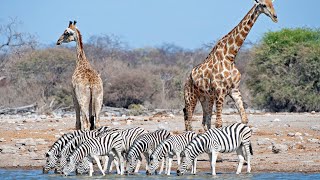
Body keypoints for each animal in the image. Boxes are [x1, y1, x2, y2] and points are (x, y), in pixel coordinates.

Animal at [184, 0, 278, 131]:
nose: (275, 17)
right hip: (190, 97)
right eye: (263, 5)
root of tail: (187, 79)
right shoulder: (220, 91)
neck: (230, 56)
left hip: (206, 98)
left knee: (205, 122)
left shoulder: (234, 90)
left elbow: (244, 119)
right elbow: (219, 123)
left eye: (273, 3)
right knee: (189, 122)